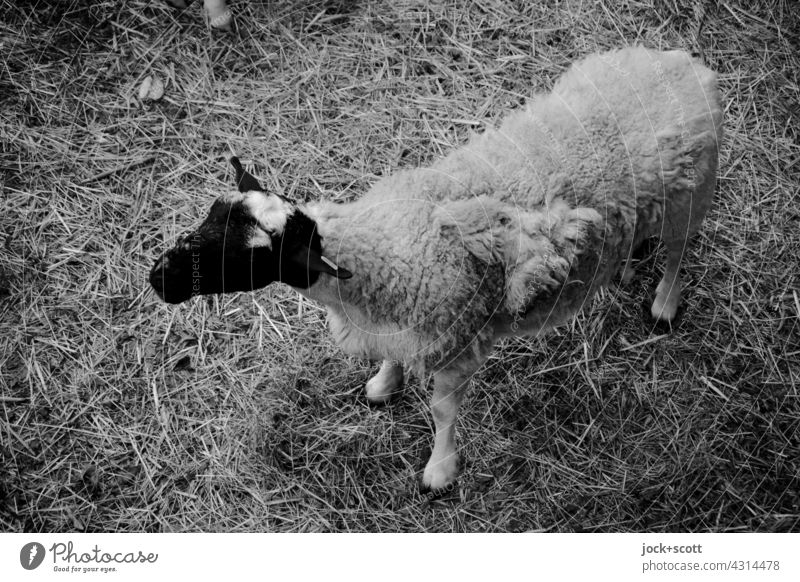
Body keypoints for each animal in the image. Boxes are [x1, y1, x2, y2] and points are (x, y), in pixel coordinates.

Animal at [147, 46, 720, 492]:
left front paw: (439, 471)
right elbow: (390, 360)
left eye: (248, 255)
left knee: (678, 252)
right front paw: (384, 384)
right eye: (211, 215)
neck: (381, 249)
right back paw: (627, 264)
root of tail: (685, 63)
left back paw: (664, 304)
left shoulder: (459, 344)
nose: (158, 277)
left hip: (689, 198)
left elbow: (443, 412)